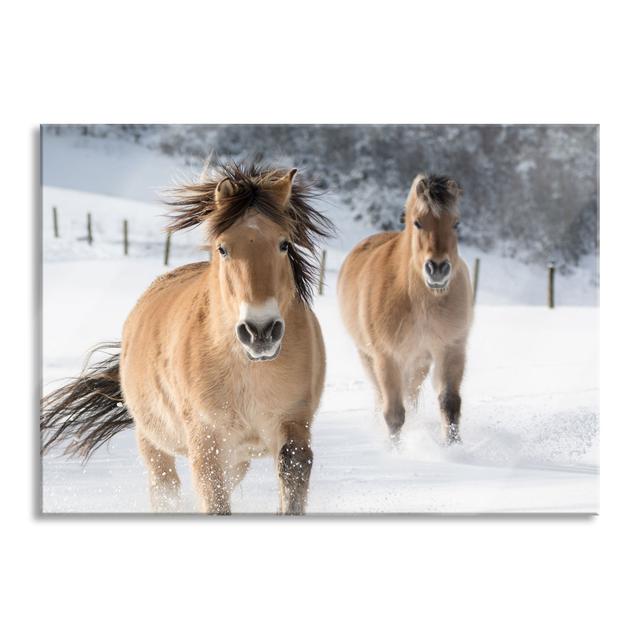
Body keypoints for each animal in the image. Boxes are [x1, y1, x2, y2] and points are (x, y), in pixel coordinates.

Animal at [41, 161, 336, 516]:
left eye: (284, 244)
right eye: (223, 248)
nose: (260, 331)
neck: (247, 371)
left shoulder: (293, 427)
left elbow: (291, 488)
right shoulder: (207, 443)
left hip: (237, 458)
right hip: (153, 441)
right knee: (164, 489)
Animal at [340, 175, 470, 444]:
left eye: (456, 223)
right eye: (418, 222)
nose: (438, 269)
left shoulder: (451, 348)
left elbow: (450, 403)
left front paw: (454, 446)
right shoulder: (387, 357)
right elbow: (394, 414)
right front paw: (395, 450)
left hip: (418, 361)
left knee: (411, 397)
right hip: (369, 357)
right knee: (382, 398)